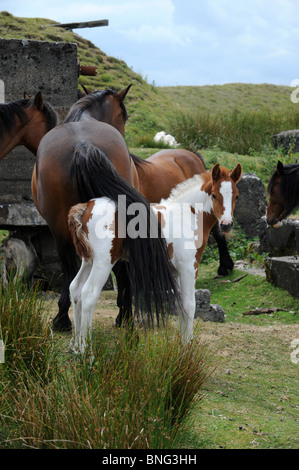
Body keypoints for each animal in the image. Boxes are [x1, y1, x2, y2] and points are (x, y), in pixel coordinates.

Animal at [31, 86, 179, 332]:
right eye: (124, 117)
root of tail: (82, 145)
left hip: (61, 228)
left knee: (71, 269)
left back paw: (63, 318)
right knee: (117, 269)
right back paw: (124, 316)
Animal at [69, 162, 243, 352]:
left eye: (236, 196)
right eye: (214, 195)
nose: (226, 225)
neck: (186, 215)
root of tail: (87, 207)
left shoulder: (176, 271)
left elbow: (180, 305)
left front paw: (181, 345)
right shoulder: (189, 267)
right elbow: (190, 305)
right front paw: (187, 348)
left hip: (88, 260)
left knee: (75, 289)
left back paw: (76, 347)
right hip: (104, 262)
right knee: (88, 294)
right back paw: (87, 352)